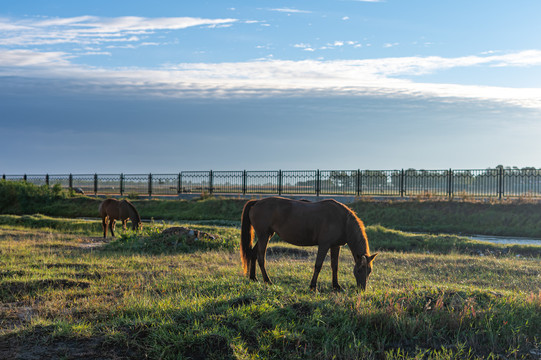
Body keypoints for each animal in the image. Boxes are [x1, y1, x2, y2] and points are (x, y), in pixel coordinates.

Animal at [238, 195, 378, 292]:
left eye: (369, 271)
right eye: (359, 270)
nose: (362, 289)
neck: (343, 220)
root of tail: (256, 202)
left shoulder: (335, 246)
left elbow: (335, 266)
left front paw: (336, 286)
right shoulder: (324, 245)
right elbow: (318, 265)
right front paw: (313, 286)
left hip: (267, 235)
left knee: (253, 253)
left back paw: (253, 278)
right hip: (264, 236)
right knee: (261, 257)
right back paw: (268, 281)